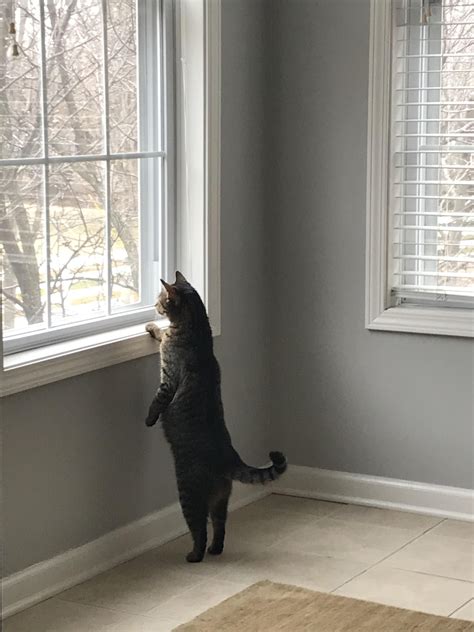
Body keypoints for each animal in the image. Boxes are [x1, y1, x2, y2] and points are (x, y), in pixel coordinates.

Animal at [143, 272, 286, 564]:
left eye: (162, 300)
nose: (154, 306)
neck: (197, 330)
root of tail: (229, 458)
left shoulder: (168, 380)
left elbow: (157, 401)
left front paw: (149, 419)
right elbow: (160, 333)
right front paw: (153, 327)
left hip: (188, 493)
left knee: (199, 528)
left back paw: (195, 555)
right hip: (221, 499)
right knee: (220, 526)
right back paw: (215, 549)